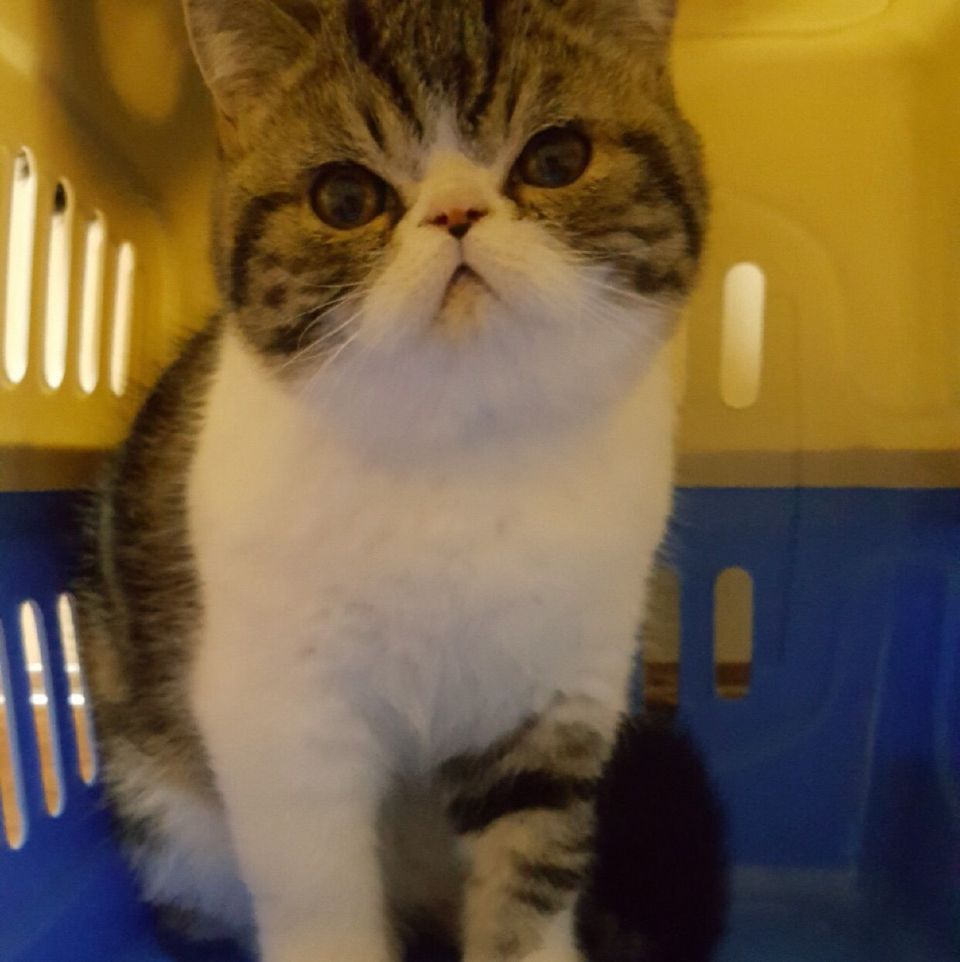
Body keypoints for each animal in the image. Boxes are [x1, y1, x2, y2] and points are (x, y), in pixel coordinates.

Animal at [74, 1, 721, 961]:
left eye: (556, 159)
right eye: (346, 199)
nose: (455, 211)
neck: (457, 450)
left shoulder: (559, 696)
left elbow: (531, 869)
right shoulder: (282, 713)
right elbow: (318, 892)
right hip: (169, 820)